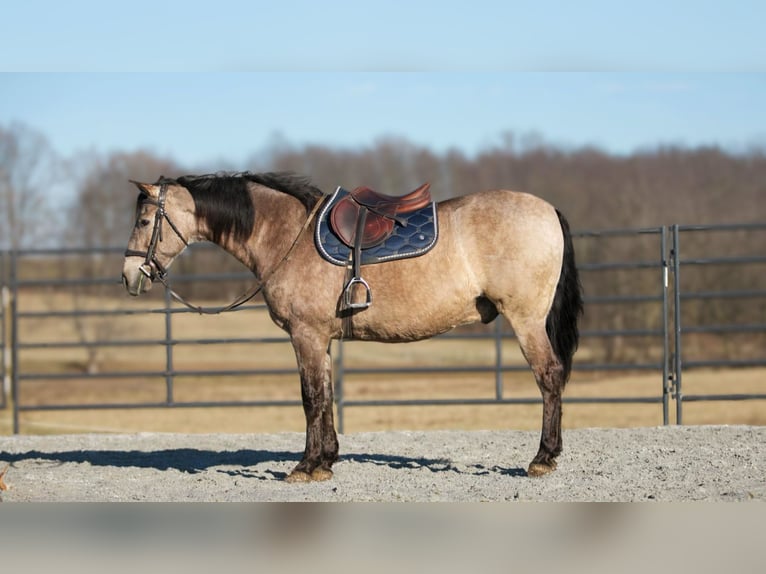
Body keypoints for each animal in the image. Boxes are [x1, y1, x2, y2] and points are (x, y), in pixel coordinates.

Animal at [123, 173, 584, 484]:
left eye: (144, 222)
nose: (129, 276)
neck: (286, 235)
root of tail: (547, 209)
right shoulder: (320, 339)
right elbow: (325, 396)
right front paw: (325, 461)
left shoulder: (305, 336)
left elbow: (310, 399)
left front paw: (305, 467)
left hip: (526, 320)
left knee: (549, 377)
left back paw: (543, 458)